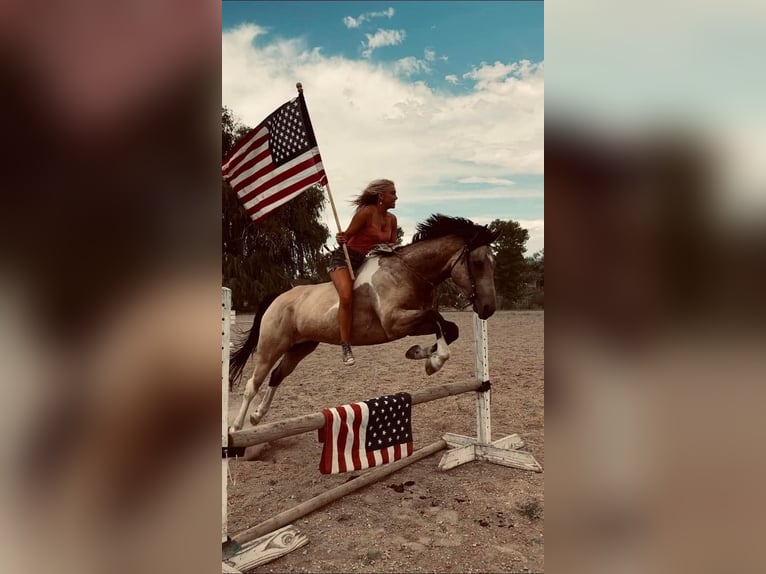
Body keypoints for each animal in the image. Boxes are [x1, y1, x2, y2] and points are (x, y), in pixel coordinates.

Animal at [231, 215, 500, 432]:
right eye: (478, 263)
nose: (488, 308)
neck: (408, 272)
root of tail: (279, 297)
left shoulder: (410, 324)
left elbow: (448, 328)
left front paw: (419, 353)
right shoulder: (395, 322)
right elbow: (436, 318)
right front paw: (433, 362)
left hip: (302, 346)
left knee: (277, 375)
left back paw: (257, 416)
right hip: (271, 345)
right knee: (252, 383)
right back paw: (236, 428)